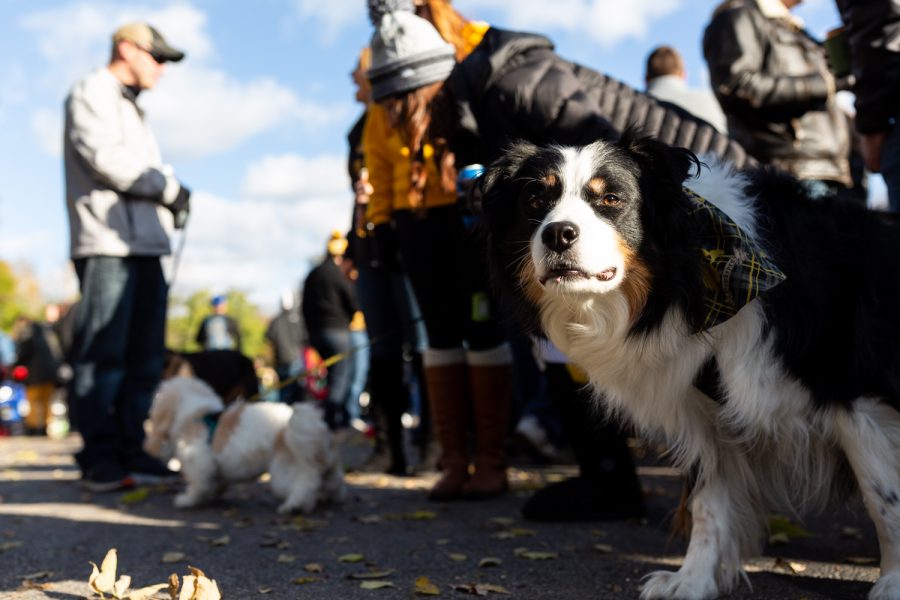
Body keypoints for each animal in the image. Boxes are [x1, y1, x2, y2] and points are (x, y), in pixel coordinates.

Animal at [146, 378, 346, 512]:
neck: (195, 414)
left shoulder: (199, 464)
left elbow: (198, 486)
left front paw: (187, 500)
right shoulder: (214, 468)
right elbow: (215, 483)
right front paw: (213, 495)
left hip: (284, 470)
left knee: (307, 482)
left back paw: (294, 504)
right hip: (324, 460)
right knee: (332, 478)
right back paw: (329, 495)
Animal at [482, 132, 900, 600]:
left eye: (611, 199)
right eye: (536, 200)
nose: (557, 234)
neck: (692, 285)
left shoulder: (859, 394)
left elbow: (883, 497)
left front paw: (893, 581)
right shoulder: (705, 413)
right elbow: (707, 503)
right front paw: (692, 580)